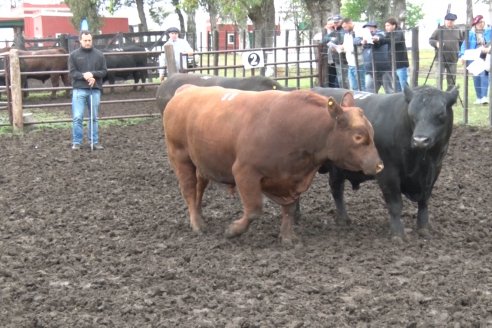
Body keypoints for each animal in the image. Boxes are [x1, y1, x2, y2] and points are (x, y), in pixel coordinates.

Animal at [163, 84, 382, 243]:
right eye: (358, 137)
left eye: (372, 132)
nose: (379, 166)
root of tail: (186, 90)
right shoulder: (244, 172)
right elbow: (254, 210)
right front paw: (233, 230)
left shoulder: (292, 179)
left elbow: (290, 209)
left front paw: (287, 237)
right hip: (180, 157)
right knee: (189, 190)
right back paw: (197, 224)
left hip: (201, 163)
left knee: (199, 188)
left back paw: (200, 216)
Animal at [310, 84, 460, 238]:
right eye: (412, 114)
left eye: (441, 113)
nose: (420, 140)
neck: (421, 161)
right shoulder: (388, 172)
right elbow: (395, 204)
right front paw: (398, 233)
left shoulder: (435, 169)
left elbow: (424, 201)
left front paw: (423, 227)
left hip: (337, 169)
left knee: (336, 188)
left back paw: (343, 219)